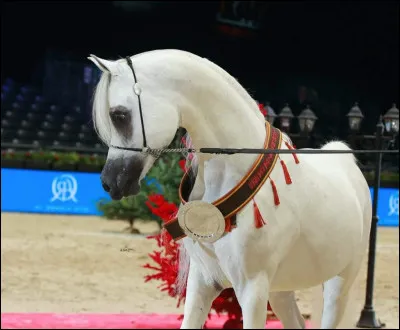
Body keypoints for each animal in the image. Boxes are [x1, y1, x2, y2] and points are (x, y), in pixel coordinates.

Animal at [88, 49, 372, 330]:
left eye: (119, 115)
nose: (109, 181)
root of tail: (346, 161)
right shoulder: (202, 283)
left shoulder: (252, 289)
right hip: (280, 290)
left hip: (339, 284)